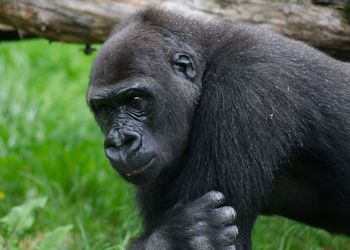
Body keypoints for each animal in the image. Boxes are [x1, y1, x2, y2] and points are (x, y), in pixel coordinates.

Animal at [87, 6, 350, 250]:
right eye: (104, 108)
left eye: (135, 100)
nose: (120, 142)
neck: (207, 62)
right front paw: (176, 235)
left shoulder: (241, 89)